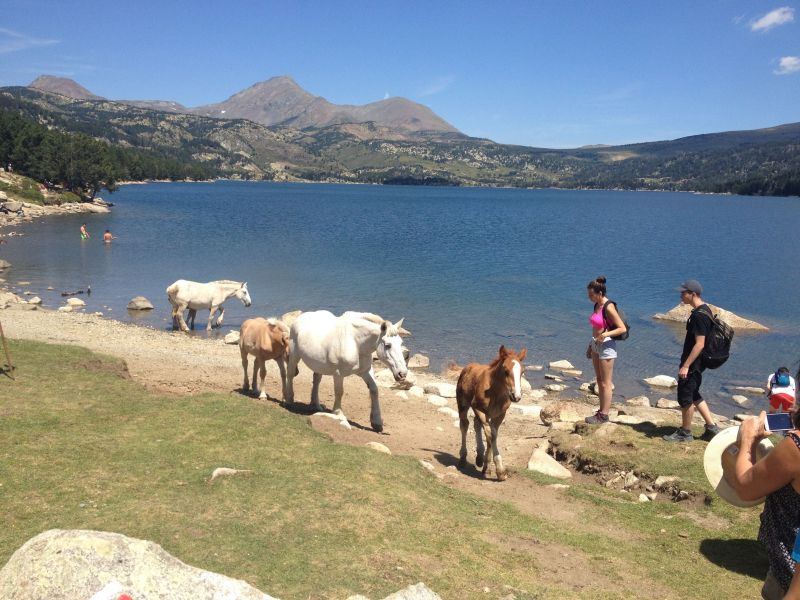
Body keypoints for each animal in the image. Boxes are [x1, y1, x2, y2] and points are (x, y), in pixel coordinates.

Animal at [456, 344, 524, 480]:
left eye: (522, 372)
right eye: (506, 371)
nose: (516, 396)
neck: (495, 392)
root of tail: (467, 368)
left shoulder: (500, 415)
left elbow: (493, 435)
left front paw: (490, 467)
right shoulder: (478, 408)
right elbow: (491, 435)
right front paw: (497, 469)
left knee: (476, 424)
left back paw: (479, 457)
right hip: (463, 404)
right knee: (464, 425)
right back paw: (463, 458)